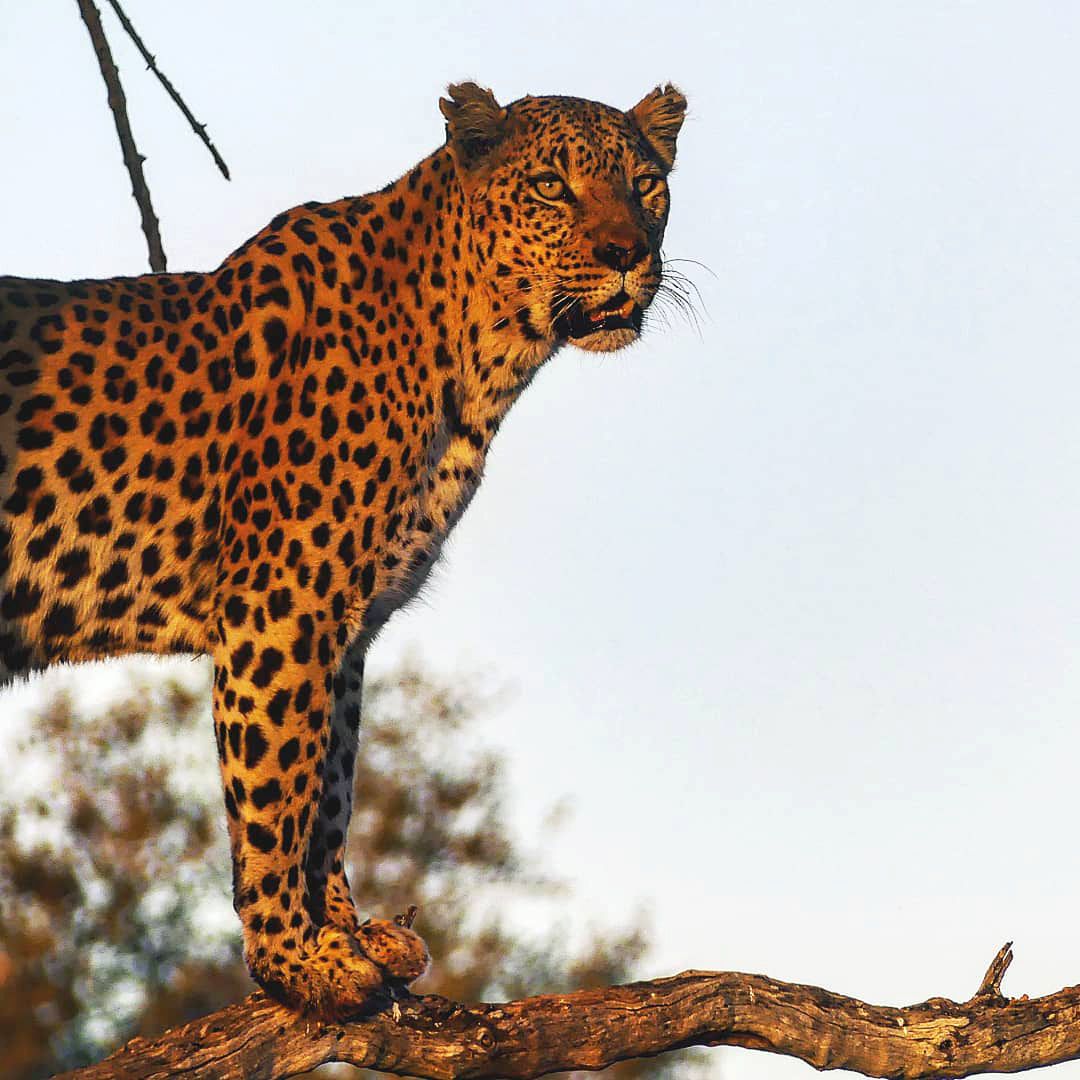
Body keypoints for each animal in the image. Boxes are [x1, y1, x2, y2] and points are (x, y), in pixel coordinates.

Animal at [0, 81, 686, 1016]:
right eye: (551, 186)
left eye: (646, 185)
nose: (627, 253)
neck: (479, 355)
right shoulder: (280, 606)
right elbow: (277, 788)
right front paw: (295, 959)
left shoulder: (350, 623)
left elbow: (331, 783)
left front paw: (345, 932)